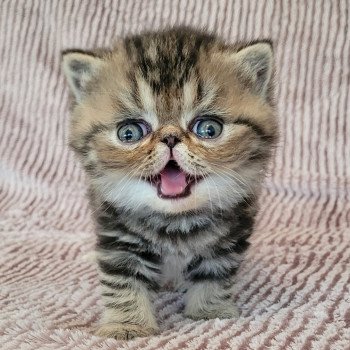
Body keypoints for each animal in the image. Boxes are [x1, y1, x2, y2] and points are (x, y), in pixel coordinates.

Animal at [62, 27, 276, 340]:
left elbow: (215, 272)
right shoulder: (118, 235)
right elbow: (123, 280)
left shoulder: (228, 236)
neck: (176, 221)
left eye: (208, 129)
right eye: (129, 133)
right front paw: (127, 324)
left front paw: (209, 310)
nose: (171, 137)